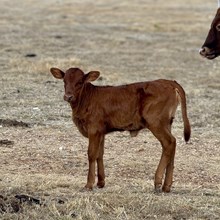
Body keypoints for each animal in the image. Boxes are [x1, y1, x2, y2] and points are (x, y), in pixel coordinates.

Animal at [50, 67, 191, 192]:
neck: (86, 99)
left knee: (169, 143)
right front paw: (101, 182)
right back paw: (167, 186)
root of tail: (168, 81)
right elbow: (100, 154)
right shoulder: (101, 132)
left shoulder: (94, 129)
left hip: (156, 123)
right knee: (172, 144)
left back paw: (157, 182)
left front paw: (89, 184)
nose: (68, 96)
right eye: (64, 81)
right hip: (167, 123)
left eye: (80, 82)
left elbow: (91, 154)